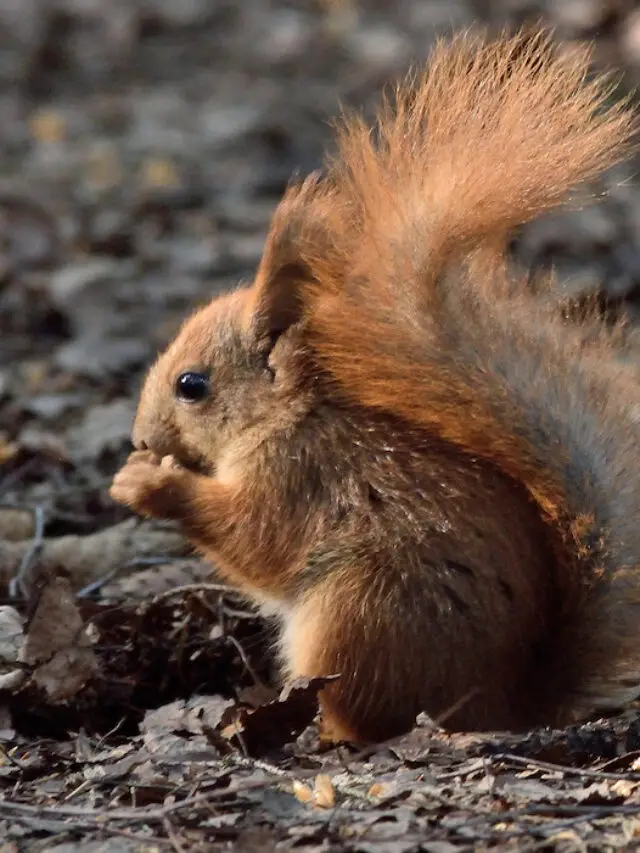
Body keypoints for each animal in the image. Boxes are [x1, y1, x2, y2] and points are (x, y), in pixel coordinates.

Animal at [110, 28, 640, 744]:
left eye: (191, 385)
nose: (140, 438)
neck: (290, 415)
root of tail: (505, 703)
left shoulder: (297, 475)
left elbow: (257, 540)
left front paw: (147, 483)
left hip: (359, 613)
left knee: (364, 713)